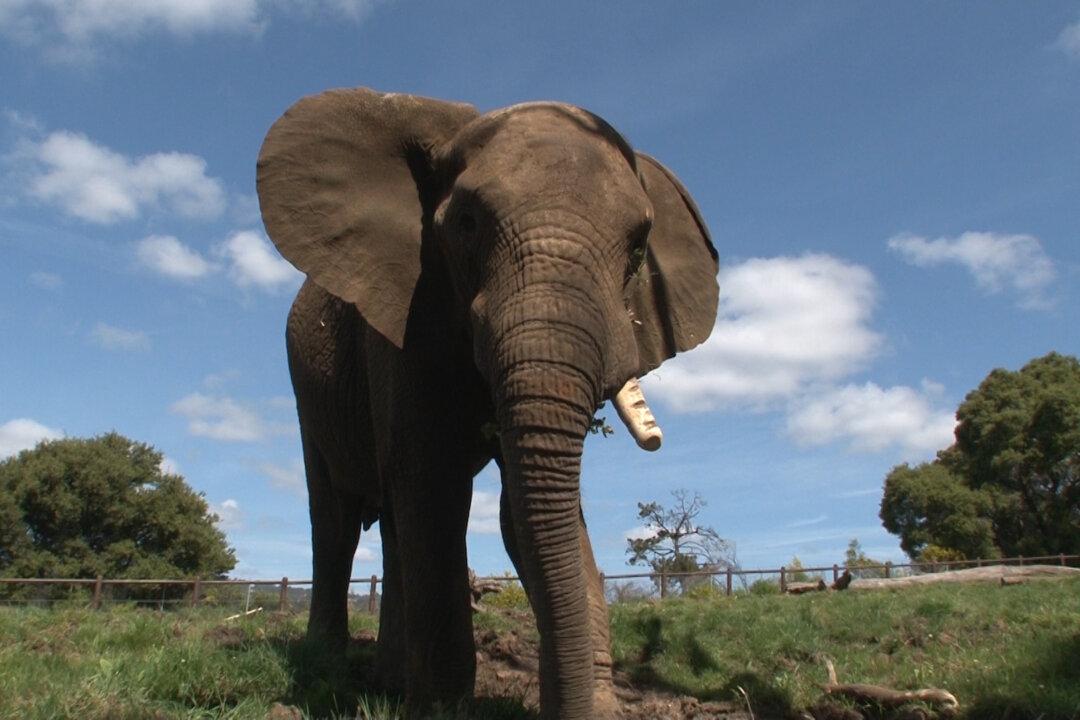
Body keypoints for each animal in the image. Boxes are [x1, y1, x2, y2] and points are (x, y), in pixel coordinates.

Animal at [256, 87, 718, 720]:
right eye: (467, 224)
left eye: (638, 247)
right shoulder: (406, 315)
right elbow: (433, 484)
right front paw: (441, 711)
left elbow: (519, 512)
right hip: (306, 389)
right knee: (336, 519)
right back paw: (327, 667)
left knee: (393, 525)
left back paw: (388, 683)